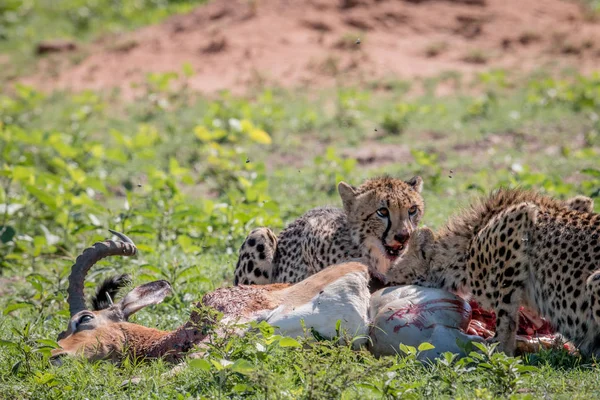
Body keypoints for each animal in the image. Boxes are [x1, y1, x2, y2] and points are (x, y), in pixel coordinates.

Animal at [384, 189, 600, 358]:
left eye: (393, 280)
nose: (381, 286)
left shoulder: (516, 220)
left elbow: (506, 314)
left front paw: (500, 351)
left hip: (594, 280)